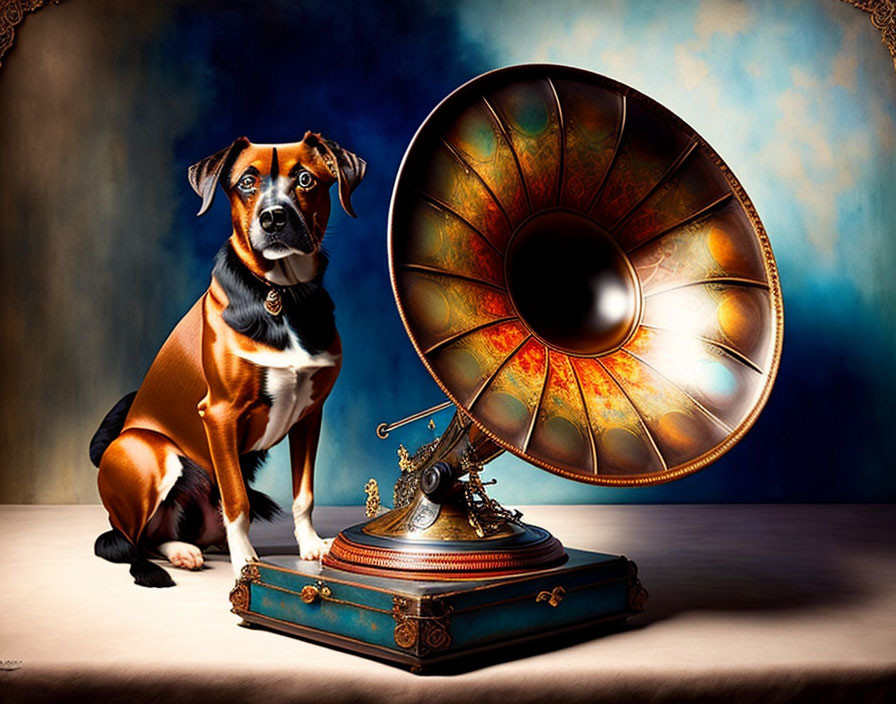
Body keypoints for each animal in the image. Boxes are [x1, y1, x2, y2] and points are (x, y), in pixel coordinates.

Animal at [90, 133, 364, 588]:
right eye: (247, 183)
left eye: (305, 179)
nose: (273, 218)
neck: (281, 296)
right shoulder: (220, 415)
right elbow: (237, 502)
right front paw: (246, 562)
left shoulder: (310, 416)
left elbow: (304, 494)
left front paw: (310, 545)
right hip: (147, 452)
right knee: (129, 541)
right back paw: (167, 559)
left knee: (161, 534)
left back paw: (187, 549)